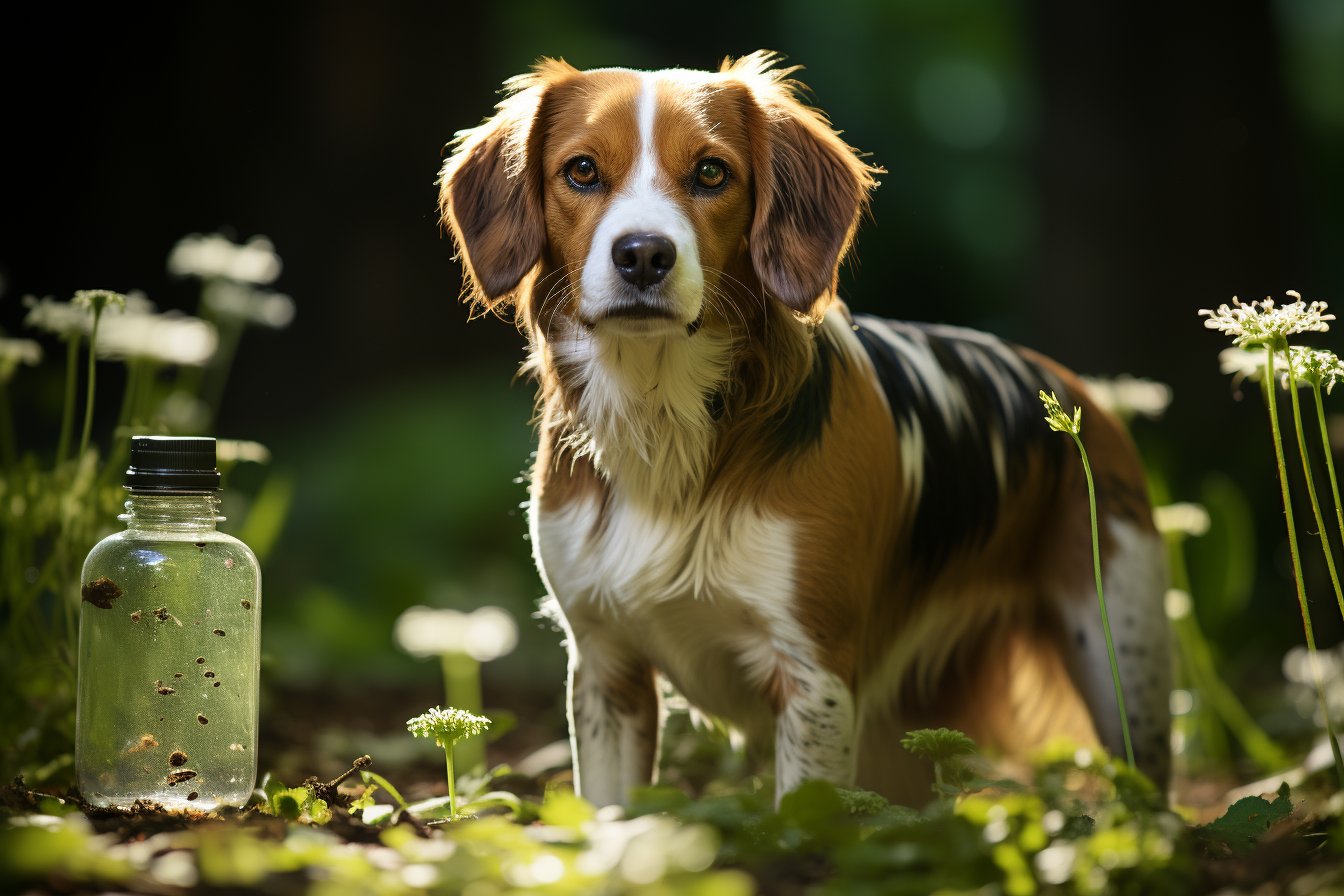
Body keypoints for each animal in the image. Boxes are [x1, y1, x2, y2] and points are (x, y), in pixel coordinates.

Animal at [438, 50, 1166, 805]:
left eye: (711, 172)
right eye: (581, 170)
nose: (642, 254)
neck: (661, 415)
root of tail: (1079, 396)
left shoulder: (815, 679)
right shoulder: (606, 666)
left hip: (1123, 657)